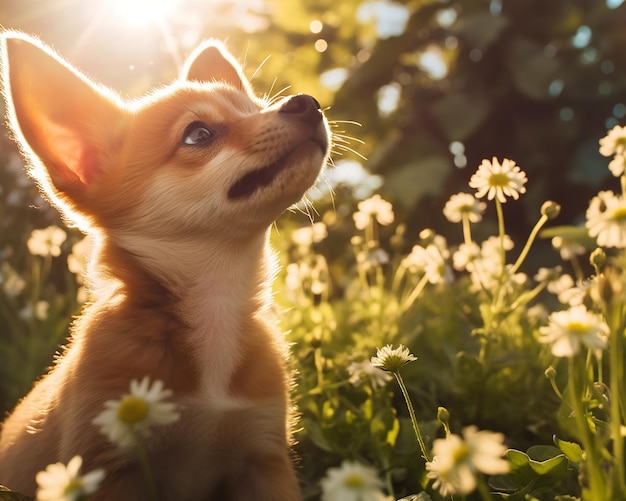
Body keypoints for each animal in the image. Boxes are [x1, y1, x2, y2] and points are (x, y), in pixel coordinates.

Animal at [0, 32, 330, 500]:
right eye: (198, 135)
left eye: (256, 106)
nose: (305, 102)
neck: (215, 302)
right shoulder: (110, 469)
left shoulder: (264, 459)